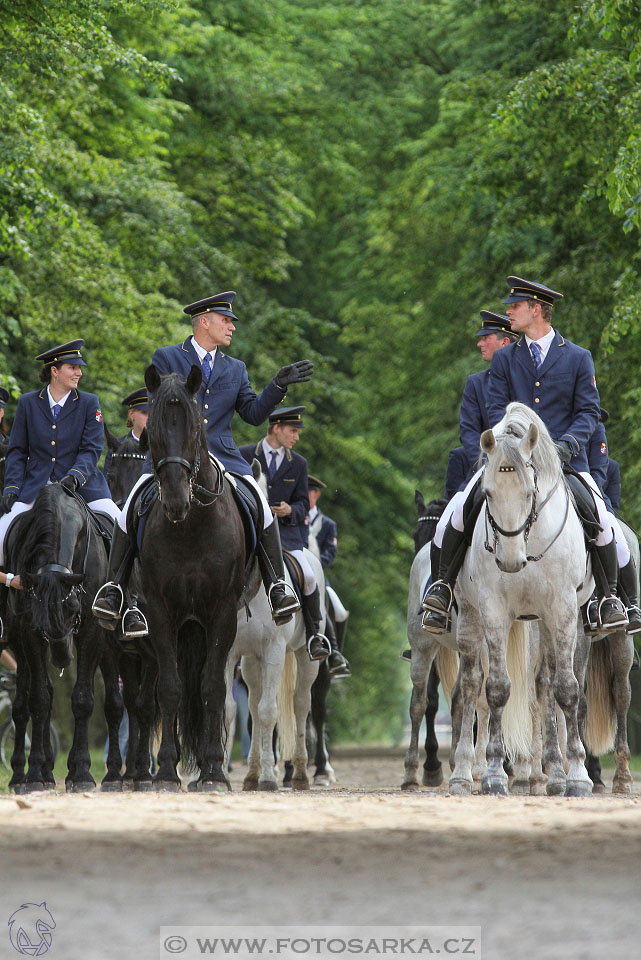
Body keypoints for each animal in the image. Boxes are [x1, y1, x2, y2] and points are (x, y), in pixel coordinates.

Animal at [5, 484, 124, 792]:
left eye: (71, 607)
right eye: (38, 615)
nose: (62, 657)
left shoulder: (92, 632)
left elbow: (82, 699)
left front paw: (81, 773)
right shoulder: (29, 633)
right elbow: (39, 700)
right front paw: (36, 774)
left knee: (114, 703)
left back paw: (114, 775)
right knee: (25, 703)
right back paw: (31, 773)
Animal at [450, 402, 596, 800]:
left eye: (531, 491)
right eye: (486, 493)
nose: (511, 561)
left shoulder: (563, 611)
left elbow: (567, 689)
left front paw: (577, 776)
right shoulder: (494, 612)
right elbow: (497, 689)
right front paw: (494, 775)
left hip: (549, 622)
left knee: (546, 685)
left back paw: (556, 774)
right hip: (470, 617)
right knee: (471, 685)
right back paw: (462, 774)